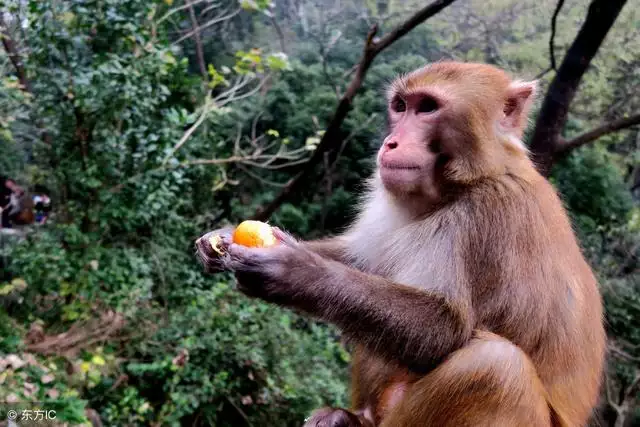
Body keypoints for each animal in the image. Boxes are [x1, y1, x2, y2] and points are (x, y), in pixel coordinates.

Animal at [195, 61, 604, 426]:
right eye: (401, 106)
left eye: (428, 108)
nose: (390, 143)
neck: (466, 182)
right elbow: (361, 265)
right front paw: (223, 239)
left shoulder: (488, 215)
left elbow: (444, 329)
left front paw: (295, 273)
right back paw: (349, 419)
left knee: (495, 366)